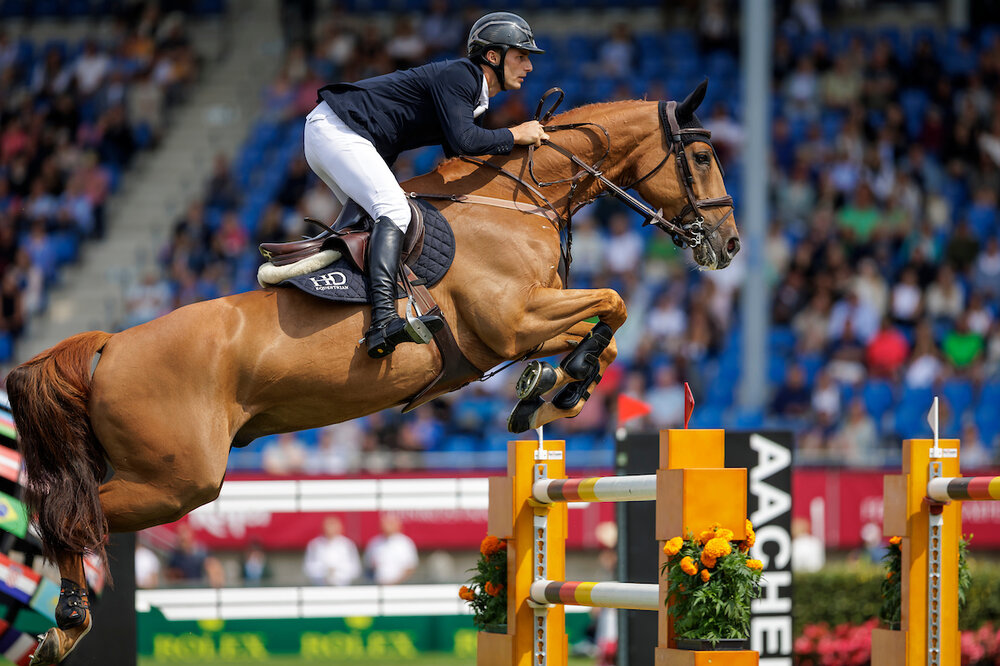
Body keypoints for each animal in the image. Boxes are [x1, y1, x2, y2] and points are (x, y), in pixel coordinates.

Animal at [6, 80, 738, 664]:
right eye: (702, 157)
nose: (728, 245)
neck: (515, 201)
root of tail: (107, 346)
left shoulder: (527, 323)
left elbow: (606, 330)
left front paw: (552, 393)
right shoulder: (513, 320)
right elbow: (613, 303)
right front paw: (560, 383)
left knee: (68, 515)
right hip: (178, 480)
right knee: (67, 516)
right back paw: (64, 623)